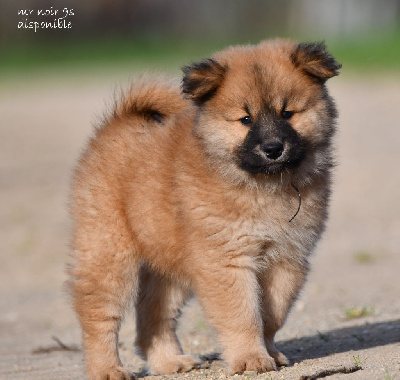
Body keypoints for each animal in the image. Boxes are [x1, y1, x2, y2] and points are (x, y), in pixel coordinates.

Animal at [68, 39, 340, 380]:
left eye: (287, 113)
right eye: (246, 119)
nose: (273, 148)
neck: (262, 186)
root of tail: (117, 123)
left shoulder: (286, 259)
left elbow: (272, 314)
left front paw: (269, 351)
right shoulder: (226, 260)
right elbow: (243, 315)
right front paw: (251, 358)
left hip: (169, 266)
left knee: (154, 315)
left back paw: (169, 362)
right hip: (109, 256)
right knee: (99, 318)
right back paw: (107, 369)